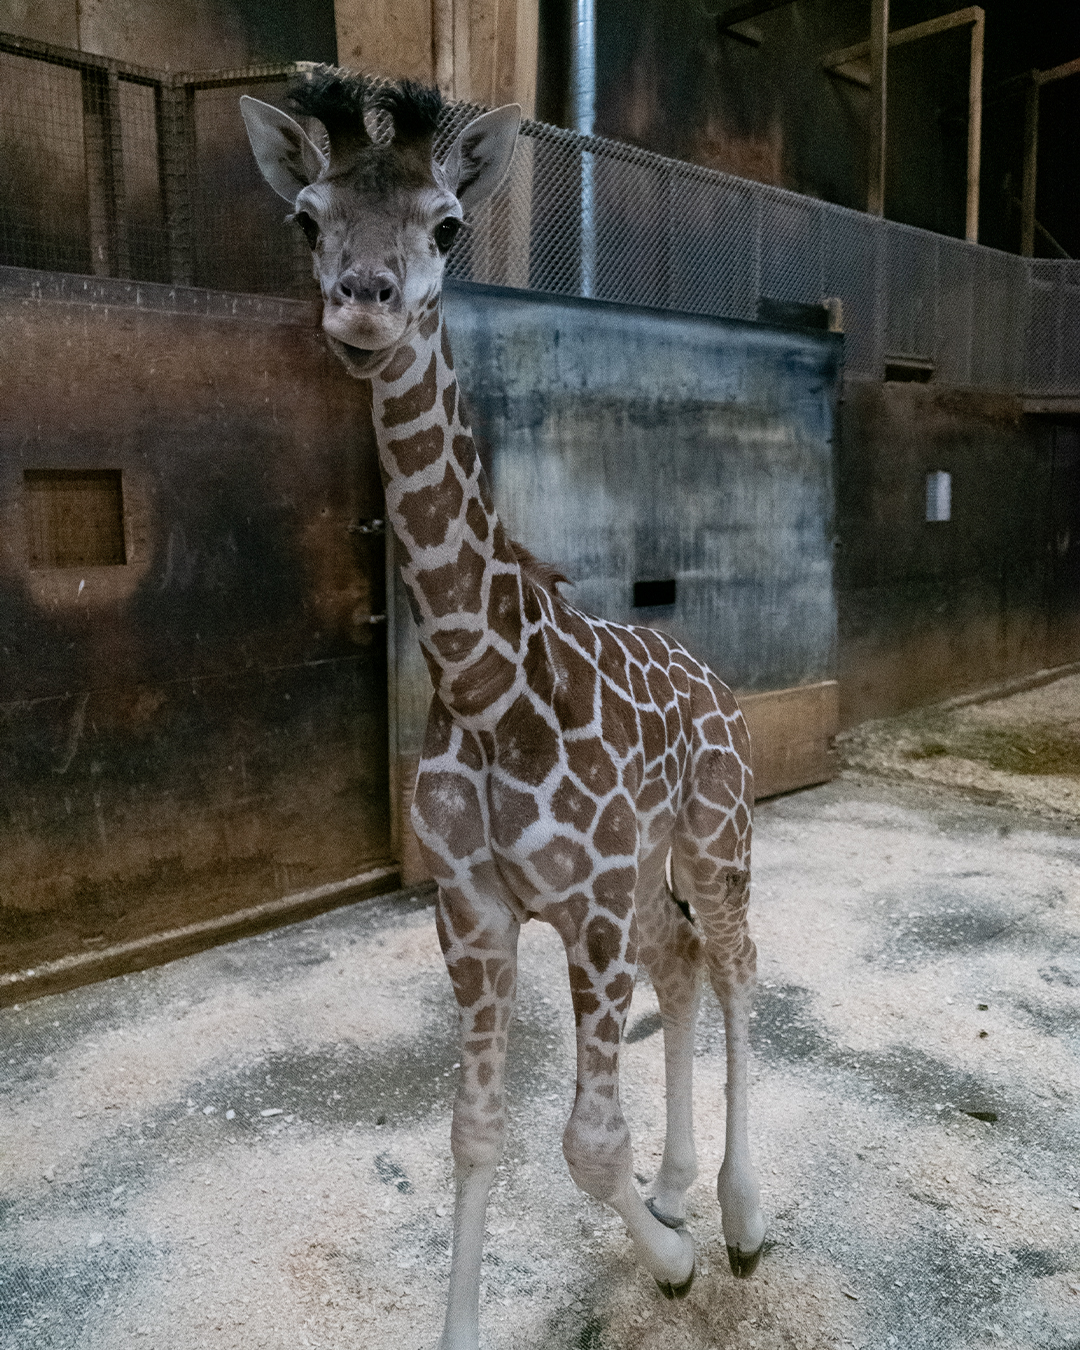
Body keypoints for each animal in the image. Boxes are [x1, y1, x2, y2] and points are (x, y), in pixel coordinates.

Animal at [241, 68, 765, 1350]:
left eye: (445, 226)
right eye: (309, 221)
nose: (364, 302)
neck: (483, 688)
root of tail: (721, 685)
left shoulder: (581, 905)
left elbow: (586, 1142)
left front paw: (676, 1265)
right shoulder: (475, 909)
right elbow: (476, 1134)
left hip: (715, 838)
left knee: (738, 965)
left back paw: (736, 1217)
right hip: (649, 872)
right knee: (685, 964)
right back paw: (681, 1185)